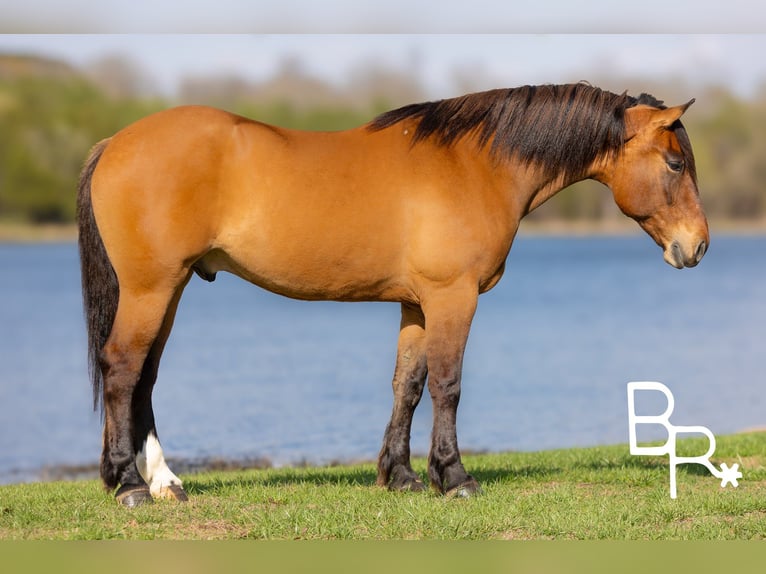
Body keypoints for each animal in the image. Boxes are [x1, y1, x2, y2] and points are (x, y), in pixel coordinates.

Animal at [77, 82, 709, 506]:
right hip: (151, 288)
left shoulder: (416, 304)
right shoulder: (454, 298)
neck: (473, 165)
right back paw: (129, 484)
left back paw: (163, 481)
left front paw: (400, 475)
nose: (697, 246)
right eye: (675, 163)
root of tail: (114, 143)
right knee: (123, 368)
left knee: (145, 376)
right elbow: (448, 384)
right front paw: (454, 477)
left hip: (171, 288)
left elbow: (409, 384)